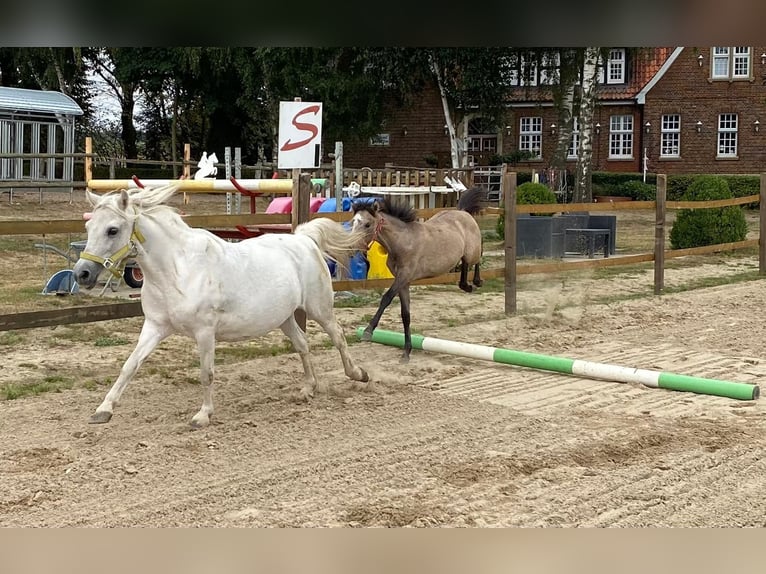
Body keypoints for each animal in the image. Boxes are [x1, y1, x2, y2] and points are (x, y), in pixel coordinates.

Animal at [73, 184, 369, 428]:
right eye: (88, 228)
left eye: (112, 230)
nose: (81, 274)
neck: (177, 270)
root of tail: (304, 239)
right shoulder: (155, 327)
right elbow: (130, 365)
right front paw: (103, 410)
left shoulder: (205, 332)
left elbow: (207, 373)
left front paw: (202, 416)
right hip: (284, 317)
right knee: (303, 344)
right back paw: (308, 388)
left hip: (320, 308)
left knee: (338, 336)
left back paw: (358, 374)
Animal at [350, 186, 484, 362]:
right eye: (353, 222)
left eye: (367, 224)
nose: (350, 247)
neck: (402, 241)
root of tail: (463, 212)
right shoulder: (403, 282)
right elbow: (405, 315)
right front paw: (406, 352)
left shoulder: (404, 276)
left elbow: (386, 298)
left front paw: (368, 331)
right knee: (464, 268)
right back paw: (467, 286)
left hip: (472, 251)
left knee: (478, 256)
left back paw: (476, 282)